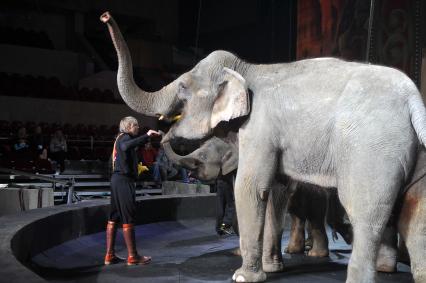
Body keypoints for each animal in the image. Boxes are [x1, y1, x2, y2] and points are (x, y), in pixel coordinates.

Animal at [100, 11, 426, 283]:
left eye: (182, 87)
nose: (105, 16)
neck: (247, 68)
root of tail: (414, 99)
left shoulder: (260, 127)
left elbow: (250, 187)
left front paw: (243, 277)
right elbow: (276, 191)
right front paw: (272, 269)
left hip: (372, 148)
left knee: (366, 213)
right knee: (413, 211)